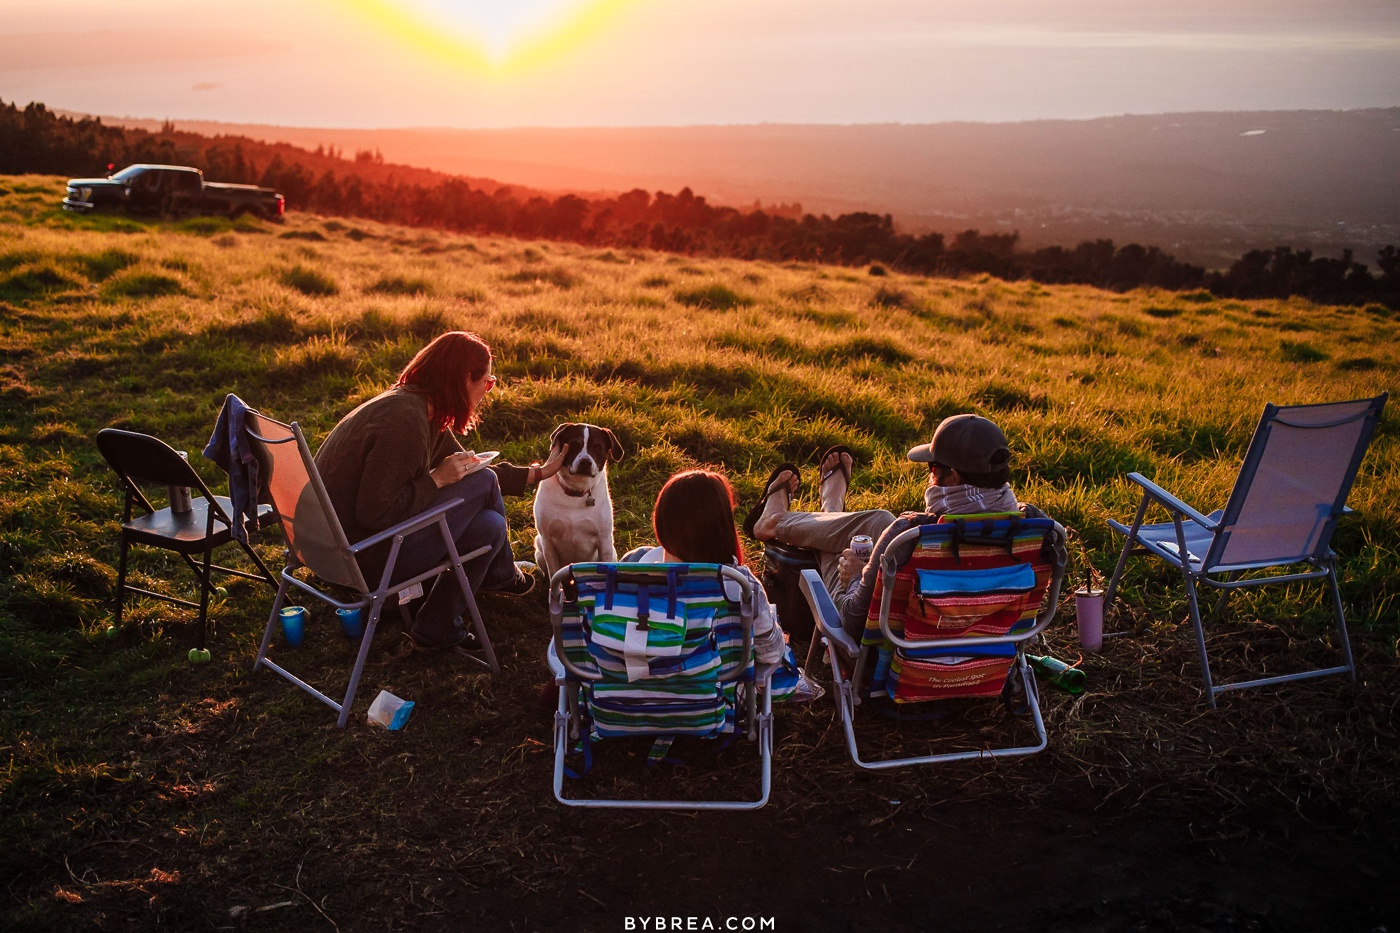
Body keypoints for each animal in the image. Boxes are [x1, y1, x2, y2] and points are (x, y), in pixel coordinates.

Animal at [532, 420, 627, 574]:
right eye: (574, 444)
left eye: (598, 447)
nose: (585, 462)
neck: (576, 491)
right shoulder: (547, 540)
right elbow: (553, 572)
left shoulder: (604, 540)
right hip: (539, 551)